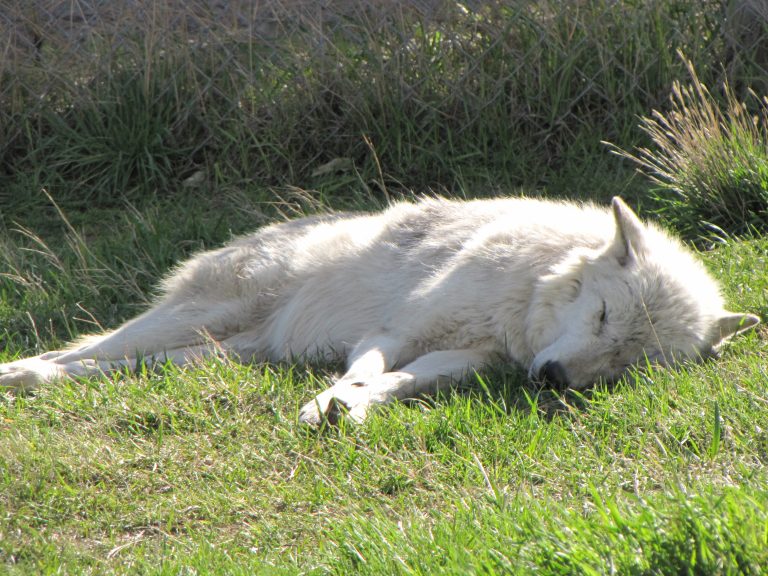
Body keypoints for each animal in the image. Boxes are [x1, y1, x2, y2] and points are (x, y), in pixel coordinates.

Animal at [0, 196, 760, 420]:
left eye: (624, 364)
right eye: (603, 318)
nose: (552, 381)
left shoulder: (463, 357)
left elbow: (397, 383)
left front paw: (355, 409)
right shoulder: (393, 330)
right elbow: (366, 367)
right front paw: (330, 403)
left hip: (211, 352)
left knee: (104, 367)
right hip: (193, 319)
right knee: (73, 352)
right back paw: (18, 375)